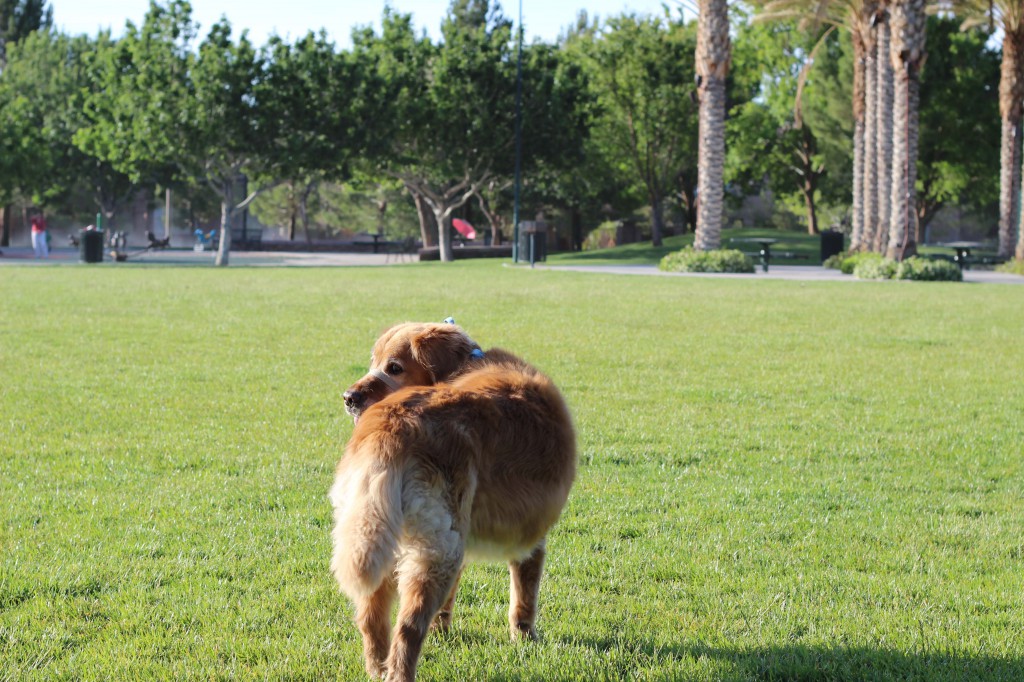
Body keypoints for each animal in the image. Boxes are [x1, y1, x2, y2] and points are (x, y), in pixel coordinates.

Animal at [333, 321, 581, 675]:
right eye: (374, 363)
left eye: (393, 367)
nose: (348, 398)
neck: (467, 363)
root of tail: (393, 423)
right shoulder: (532, 537)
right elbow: (524, 595)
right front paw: (525, 639)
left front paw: (443, 631)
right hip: (439, 547)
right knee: (408, 628)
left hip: (376, 532)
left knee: (371, 618)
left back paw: (377, 669)